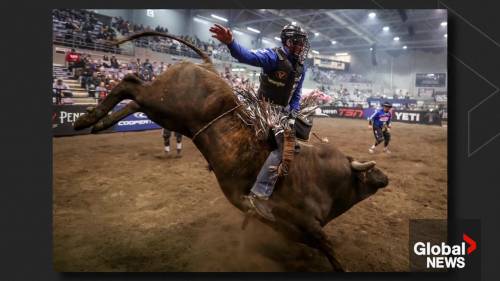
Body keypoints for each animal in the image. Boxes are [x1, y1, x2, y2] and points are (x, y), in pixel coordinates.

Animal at [72, 31, 388, 270]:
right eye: (368, 173)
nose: (385, 177)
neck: (328, 177)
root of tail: (205, 66)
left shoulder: (293, 229)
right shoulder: (305, 223)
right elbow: (329, 247)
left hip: (164, 111)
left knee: (133, 95)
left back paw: (99, 122)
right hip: (164, 104)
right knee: (130, 83)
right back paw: (86, 119)